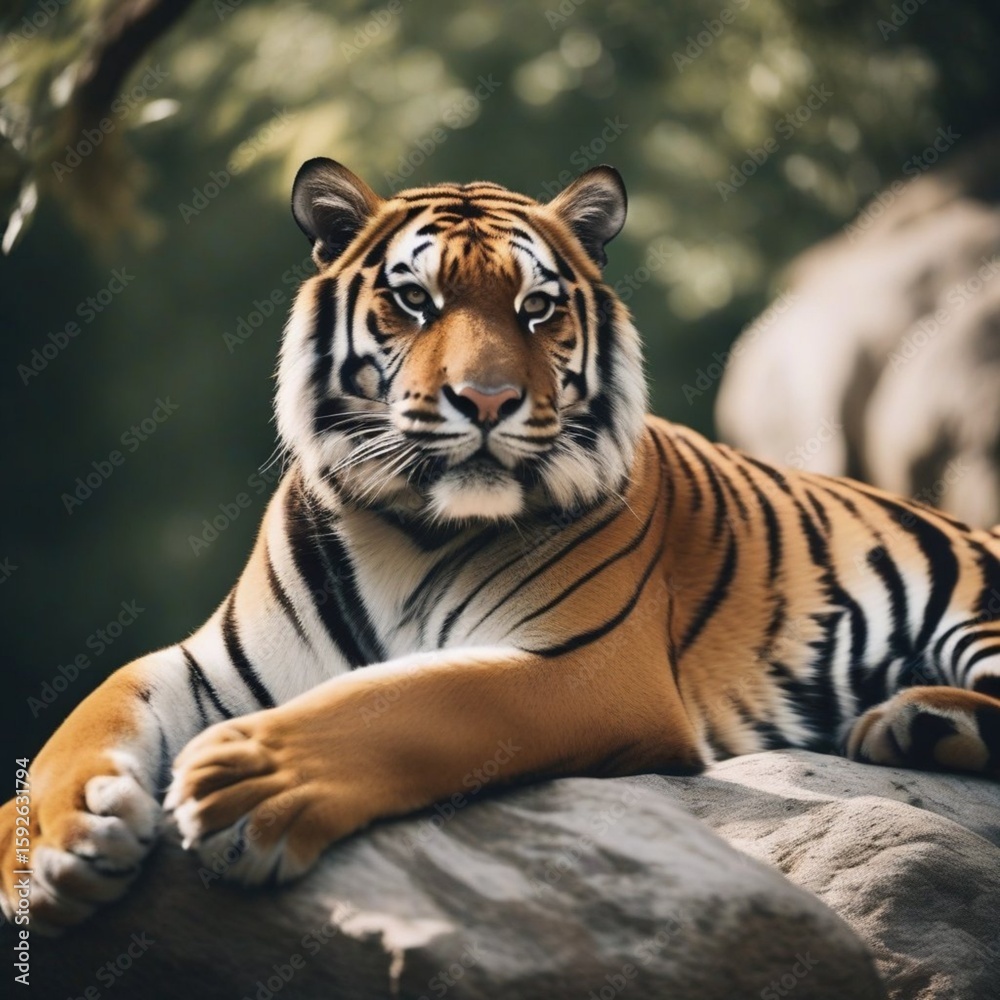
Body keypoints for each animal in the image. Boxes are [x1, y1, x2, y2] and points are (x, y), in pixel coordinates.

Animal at [3, 158, 999, 936]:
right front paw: (57, 838)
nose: (486, 401)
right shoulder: (213, 664)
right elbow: (95, 708)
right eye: (414, 300)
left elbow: (416, 703)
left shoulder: (587, 665)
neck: (407, 528)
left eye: (537, 307)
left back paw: (914, 721)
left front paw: (254, 788)